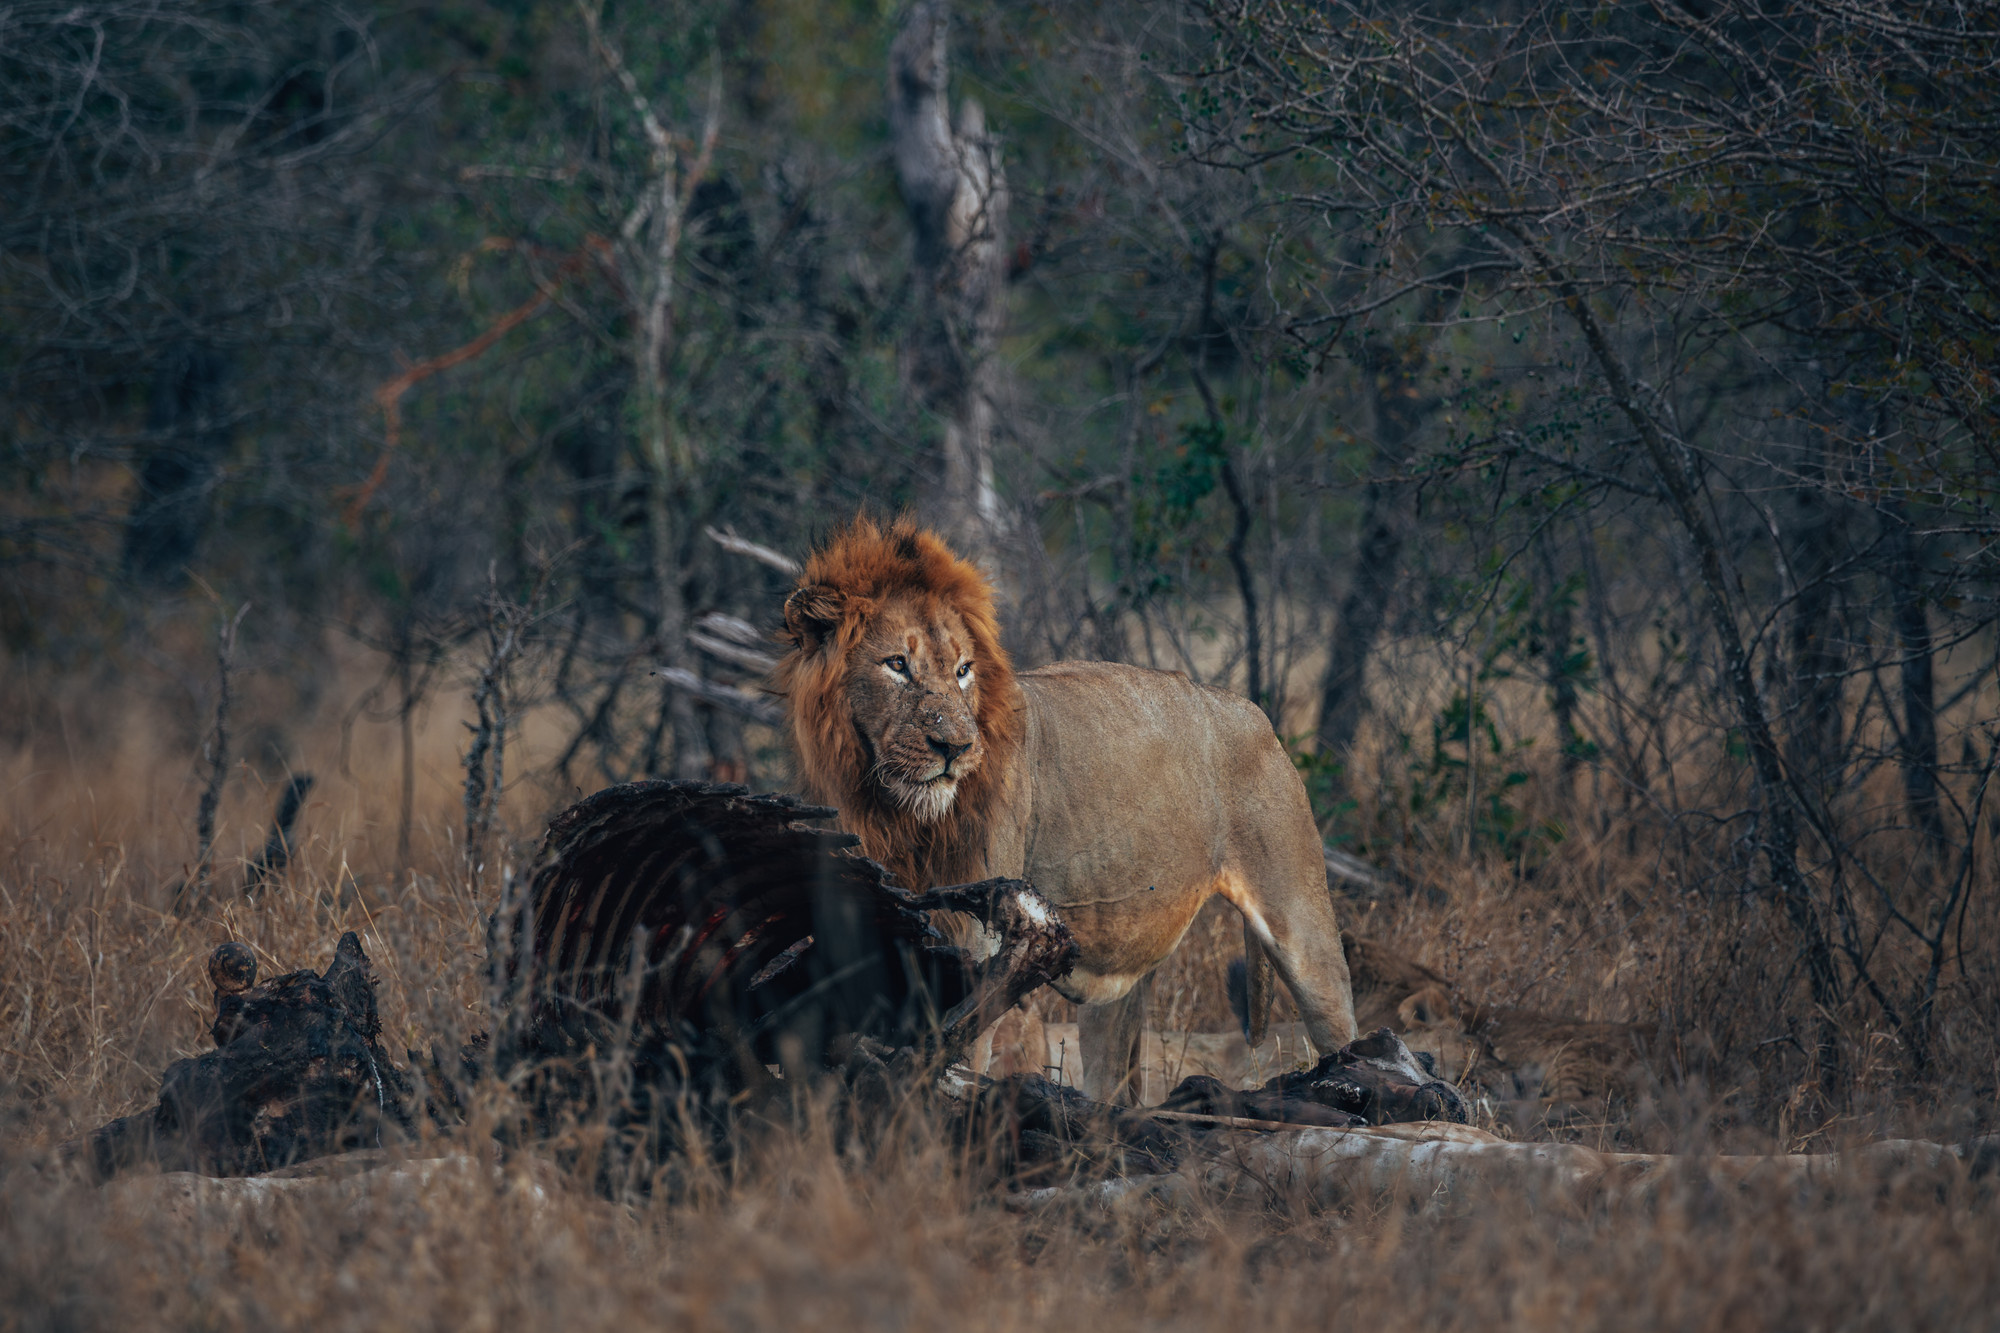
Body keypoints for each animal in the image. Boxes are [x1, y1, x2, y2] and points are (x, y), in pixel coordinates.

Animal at [777, 516, 1356, 1102]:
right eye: (897, 664)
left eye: (963, 670)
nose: (956, 748)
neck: (889, 809)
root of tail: (1250, 709)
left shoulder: (976, 939)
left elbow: (957, 1057)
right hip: (1122, 971)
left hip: (1301, 922)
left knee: (1340, 1020)